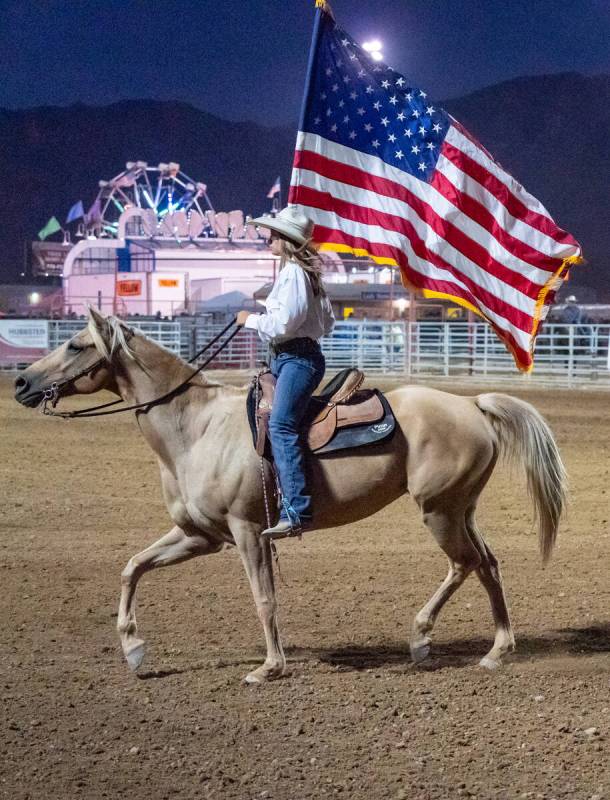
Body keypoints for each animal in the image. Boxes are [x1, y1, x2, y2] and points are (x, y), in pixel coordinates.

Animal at [13, 310, 564, 684]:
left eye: (75, 345)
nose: (20, 381)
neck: (197, 427)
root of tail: (473, 404)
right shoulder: (199, 535)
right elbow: (132, 567)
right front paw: (133, 649)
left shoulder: (248, 531)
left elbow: (264, 597)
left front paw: (270, 667)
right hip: (461, 508)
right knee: (488, 564)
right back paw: (495, 650)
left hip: (439, 511)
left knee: (464, 564)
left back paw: (422, 638)